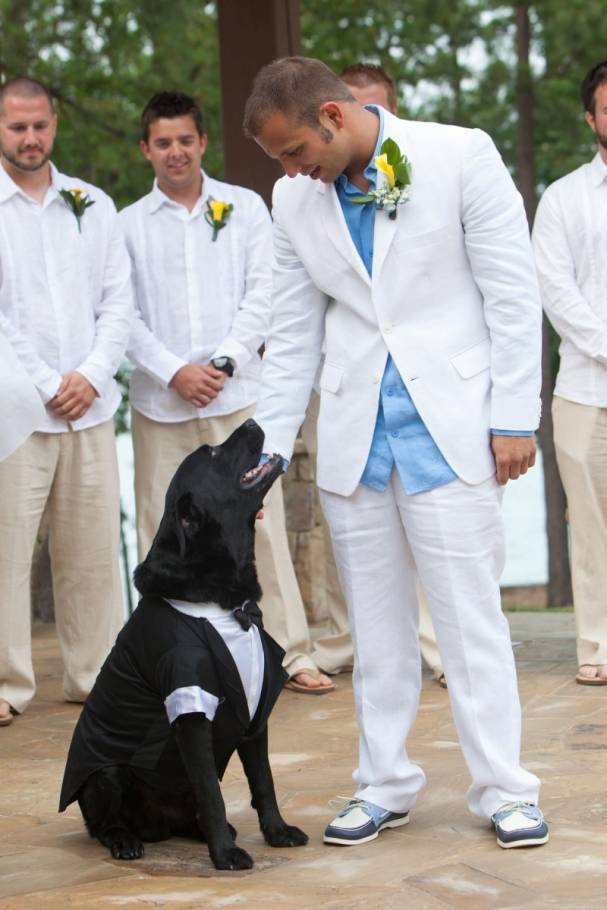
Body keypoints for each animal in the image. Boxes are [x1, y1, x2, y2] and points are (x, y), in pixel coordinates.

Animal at [59, 420, 308, 868]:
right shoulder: (190, 705)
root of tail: (157, 828)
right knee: (103, 825)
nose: (251, 421)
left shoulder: (254, 708)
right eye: (211, 453)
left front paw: (277, 832)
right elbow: (213, 794)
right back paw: (126, 840)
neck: (224, 605)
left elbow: (264, 782)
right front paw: (225, 856)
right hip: (107, 773)